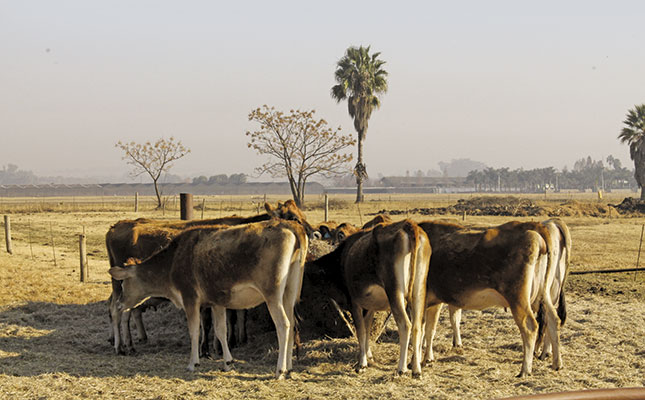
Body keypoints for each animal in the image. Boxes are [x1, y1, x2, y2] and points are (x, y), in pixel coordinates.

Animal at [306, 220, 430, 376]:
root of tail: (408, 224)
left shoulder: (354, 303)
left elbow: (360, 331)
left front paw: (362, 363)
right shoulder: (370, 307)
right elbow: (367, 329)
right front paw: (369, 355)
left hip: (395, 292)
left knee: (405, 325)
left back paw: (401, 368)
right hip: (419, 290)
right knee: (418, 326)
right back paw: (416, 368)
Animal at [418, 220, 548, 376]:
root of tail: (536, 237)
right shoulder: (435, 302)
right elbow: (429, 330)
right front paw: (427, 358)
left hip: (518, 300)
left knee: (530, 327)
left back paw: (525, 369)